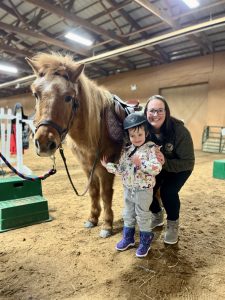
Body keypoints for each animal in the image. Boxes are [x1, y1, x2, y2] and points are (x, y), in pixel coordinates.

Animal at [25, 52, 126, 238]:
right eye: (36, 94)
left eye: (68, 97)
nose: (44, 143)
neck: (95, 130)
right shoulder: (87, 167)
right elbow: (93, 191)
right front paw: (92, 219)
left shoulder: (105, 169)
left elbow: (105, 194)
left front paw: (107, 225)